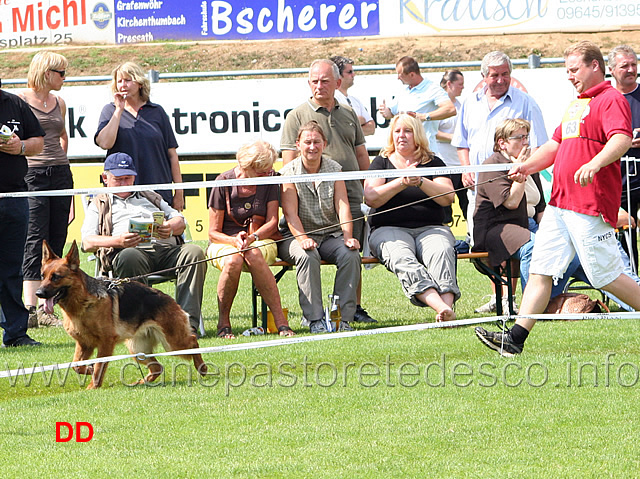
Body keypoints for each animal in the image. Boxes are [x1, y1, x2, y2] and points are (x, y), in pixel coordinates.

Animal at [36, 242, 206, 392]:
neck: (83, 303)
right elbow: (77, 365)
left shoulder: (105, 343)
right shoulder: (84, 344)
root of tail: (170, 299)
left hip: (173, 344)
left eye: (56, 277)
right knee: (157, 367)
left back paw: (202, 368)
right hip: (138, 350)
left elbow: (99, 367)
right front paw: (89, 370)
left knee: (193, 341)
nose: (38, 293)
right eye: (42, 276)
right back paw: (141, 382)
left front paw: (93, 386)